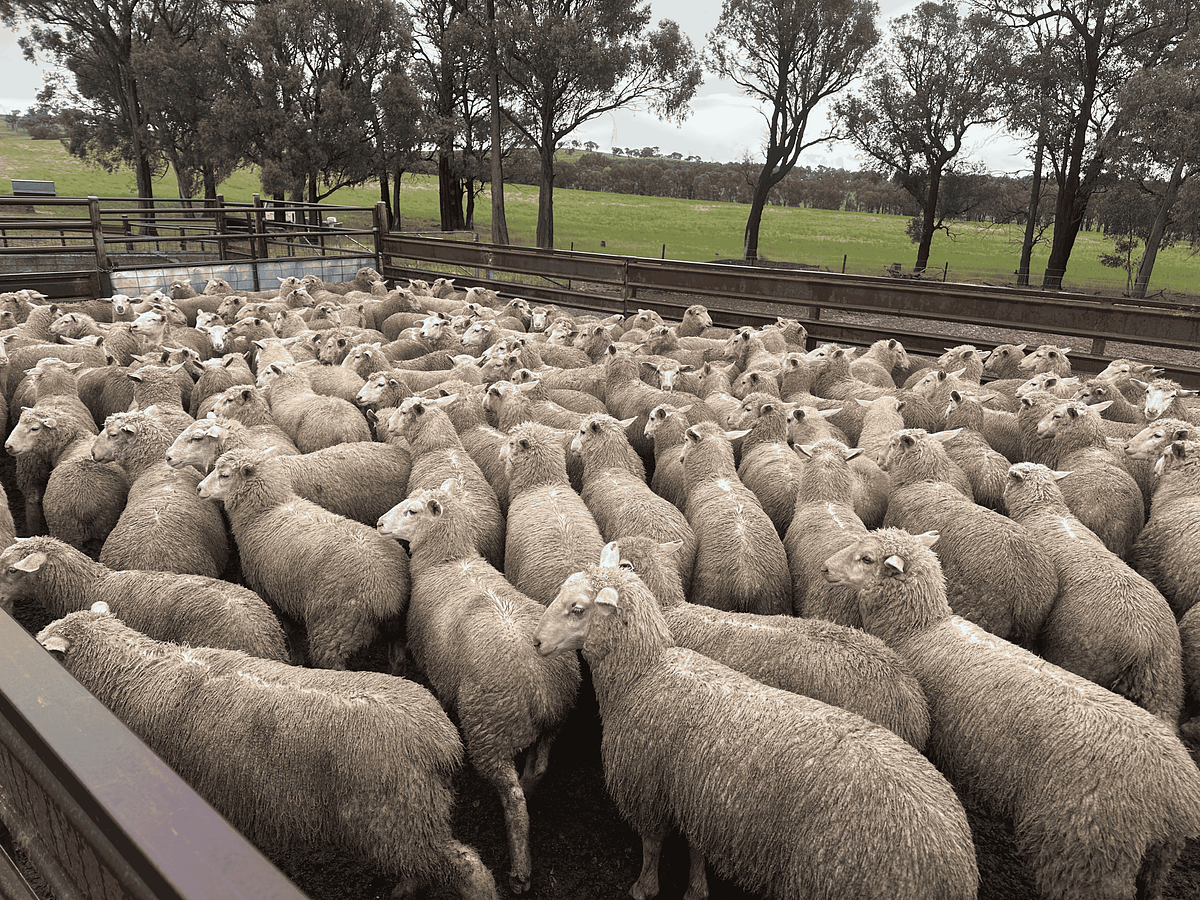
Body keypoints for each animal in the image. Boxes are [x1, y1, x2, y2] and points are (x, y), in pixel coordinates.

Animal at [198, 448, 409, 672]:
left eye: (224, 475)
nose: (199, 488)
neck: (266, 510)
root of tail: (387, 593)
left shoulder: (274, 593)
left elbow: (291, 633)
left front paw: (297, 658)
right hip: (396, 629)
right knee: (397, 659)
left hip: (335, 628)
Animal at [377, 480, 579, 895]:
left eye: (412, 511)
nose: (379, 523)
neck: (448, 561)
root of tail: (541, 689)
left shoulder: (434, 666)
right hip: (554, 723)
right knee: (538, 768)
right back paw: (531, 791)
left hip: (490, 731)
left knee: (513, 799)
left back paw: (520, 869)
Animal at [678, 421, 792, 616]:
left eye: (686, 440)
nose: (680, 457)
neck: (717, 478)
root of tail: (746, 584)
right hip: (772, 602)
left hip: (712, 595)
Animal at [822, 527, 1200, 900]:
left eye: (866, 558)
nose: (825, 568)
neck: (921, 628)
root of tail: (1177, 794)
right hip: (1157, 856)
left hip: (1087, 855)